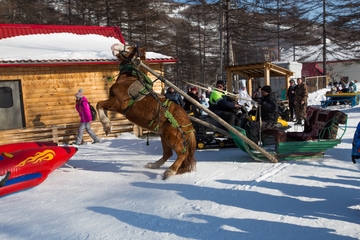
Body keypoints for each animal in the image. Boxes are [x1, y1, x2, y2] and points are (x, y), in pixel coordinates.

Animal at [97, 43, 195, 179]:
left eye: (130, 47)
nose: (114, 45)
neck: (129, 79)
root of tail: (188, 122)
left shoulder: (117, 103)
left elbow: (99, 104)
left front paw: (106, 124)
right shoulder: (113, 103)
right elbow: (102, 107)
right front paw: (107, 126)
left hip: (171, 137)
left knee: (182, 153)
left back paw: (170, 171)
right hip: (164, 136)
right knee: (168, 154)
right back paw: (153, 165)